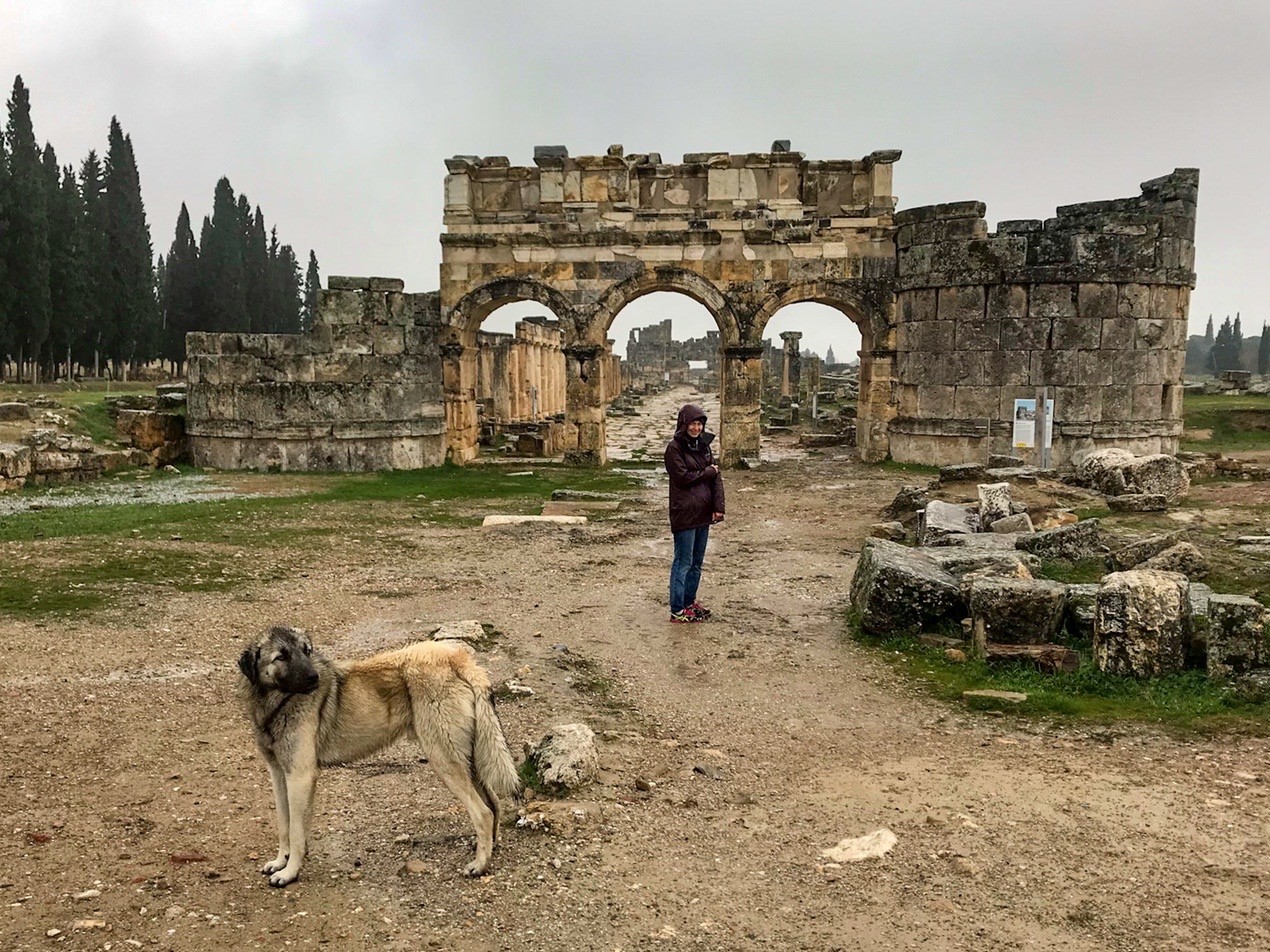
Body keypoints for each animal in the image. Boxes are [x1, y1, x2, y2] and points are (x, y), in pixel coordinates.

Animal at [238, 629, 520, 893]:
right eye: (281, 656)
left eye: (306, 651)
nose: (314, 678)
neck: (278, 702)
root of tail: (458, 661)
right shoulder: (279, 775)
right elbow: (284, 824)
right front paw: (280, 861)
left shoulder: (300, 776)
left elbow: (296, 830)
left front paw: (290, 872)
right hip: (467, 759)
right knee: (494, 803)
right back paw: (489, 848)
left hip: (445, 759)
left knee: (483, 812)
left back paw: (480, 864)